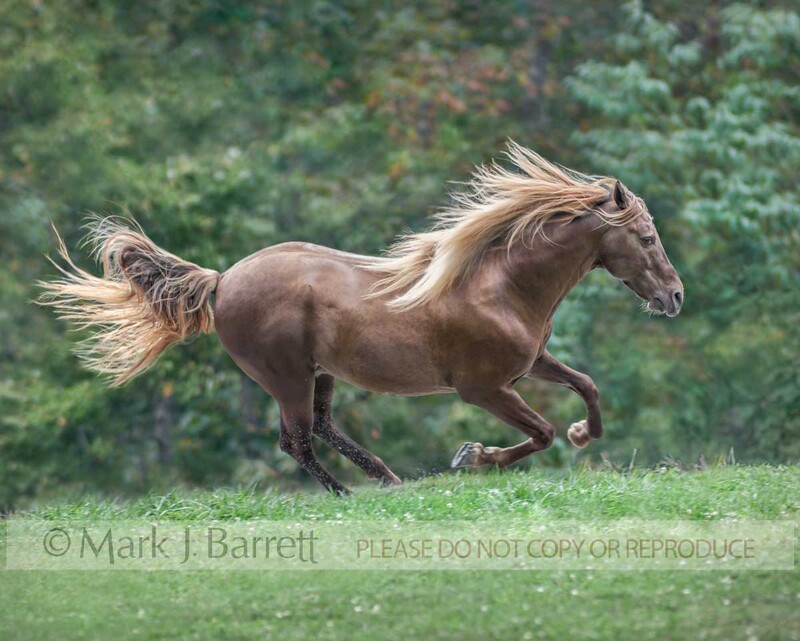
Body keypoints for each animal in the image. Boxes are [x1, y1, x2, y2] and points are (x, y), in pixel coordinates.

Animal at [39, 142, 683, 494]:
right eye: (647, 238)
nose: (675, 297)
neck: (499, 286)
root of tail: (221, 282)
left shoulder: (530, 364)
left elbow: (587, 388)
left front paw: (582, 434)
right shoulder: (483, 388)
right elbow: (540, 433)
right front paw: (472, 458)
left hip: (319, 374)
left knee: (319, 430)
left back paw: (390, 480)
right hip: (288, 377)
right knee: (296, 441)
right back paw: (351, 494)